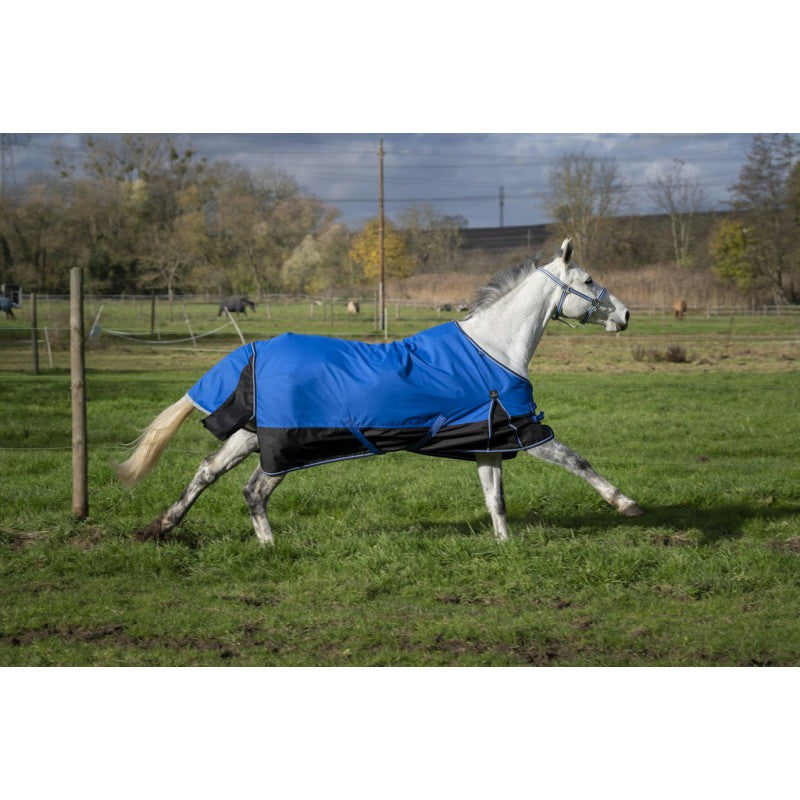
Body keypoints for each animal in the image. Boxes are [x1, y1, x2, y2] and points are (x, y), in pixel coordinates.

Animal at [116, 239, 643, 545]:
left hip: (253, 434)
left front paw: (504, 545)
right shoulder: (523, 431)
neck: (493, 348)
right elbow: (577, 461)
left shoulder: (487, 441)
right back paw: (270, 547)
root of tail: (251, 352)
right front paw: (627, 505)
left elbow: (495, 498)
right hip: (286, 446)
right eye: (589, 279)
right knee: (254, 489)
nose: (625, 315)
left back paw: (163, 527)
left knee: (209, 472)